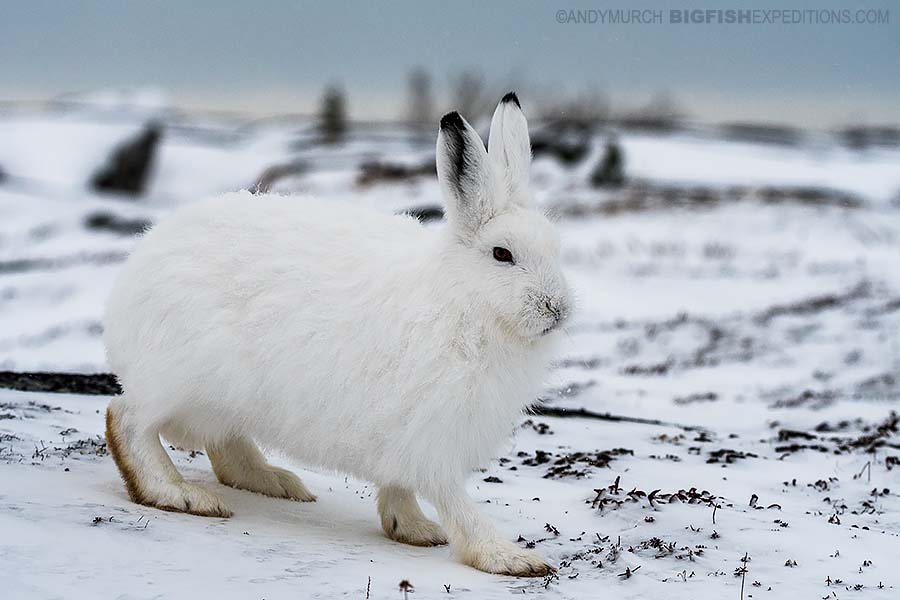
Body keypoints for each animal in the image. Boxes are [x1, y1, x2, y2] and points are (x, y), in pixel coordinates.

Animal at [103, 92, 572, 577]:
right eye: (502, 254)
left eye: (556, 250)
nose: (557, 310)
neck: (464, 298)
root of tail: (132, 279)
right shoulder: (432, 434)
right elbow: (451, 497)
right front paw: (507, 557)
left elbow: (400, 485)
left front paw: (412, 528)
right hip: (184, 379)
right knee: (125, 420)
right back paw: (180, 494)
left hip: (222, 397)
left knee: (222, 444)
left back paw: (273, 480)